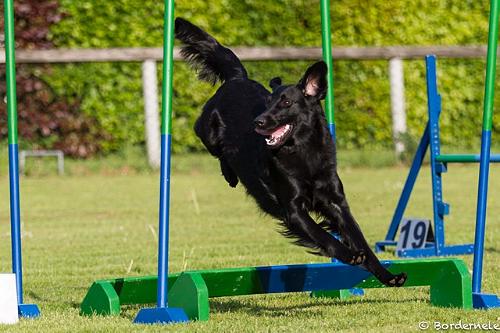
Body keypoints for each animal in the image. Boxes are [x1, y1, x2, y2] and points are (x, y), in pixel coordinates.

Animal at [176, 17, 406, 286]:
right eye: (268, 103)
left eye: (286, 102)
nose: (257, 122)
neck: (304, 152)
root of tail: (237, 78)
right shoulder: (293, 209)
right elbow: (323, 236)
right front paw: (348, 254)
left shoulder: (336, 201)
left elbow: (361, 240)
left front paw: (387, 276)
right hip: (206, 131)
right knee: (218, 151)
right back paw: (230, 175)